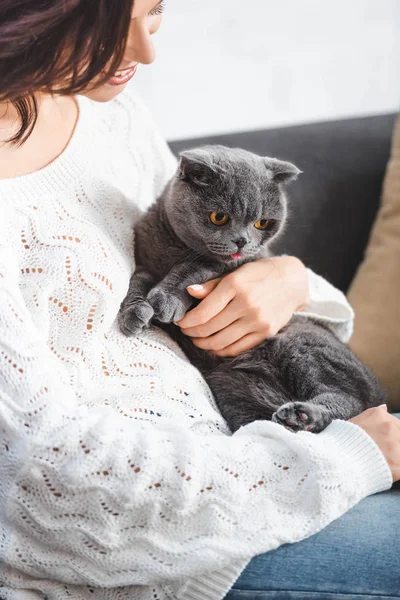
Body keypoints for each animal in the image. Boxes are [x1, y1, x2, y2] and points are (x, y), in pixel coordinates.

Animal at [118, 148, 384, 434]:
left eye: (262, 223)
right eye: (219, 217)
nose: (242, 241)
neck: (173, 250)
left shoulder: (238, 264)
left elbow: (193, 267)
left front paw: (165, 299)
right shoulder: (144, 261)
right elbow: (136, 282)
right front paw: (133, 314)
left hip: (301, 343)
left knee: (348, 401)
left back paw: (302, 414)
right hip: (234, 388)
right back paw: (288, 419)